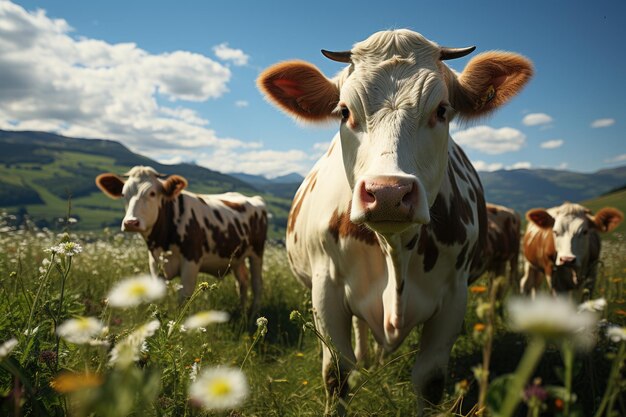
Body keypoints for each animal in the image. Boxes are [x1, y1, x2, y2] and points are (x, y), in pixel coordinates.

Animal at [95, 166, 266, 316]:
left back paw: (254, 314)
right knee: (242, 282)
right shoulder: (154, 264)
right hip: (237, 257)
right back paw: (242, 311)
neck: (162, 242)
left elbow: (184, 299)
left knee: (257, 284)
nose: (131, 222)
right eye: (123, 194)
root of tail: (253, 198)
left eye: (152, 193)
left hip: (257, 252)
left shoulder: (191, 262)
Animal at [256, 28, 528, 412]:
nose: (388, 192)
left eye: (442, 110)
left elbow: (430, 381)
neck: (395, 249)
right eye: (344, 111)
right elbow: (336, 374)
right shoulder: (325, 286)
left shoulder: (455, 294)